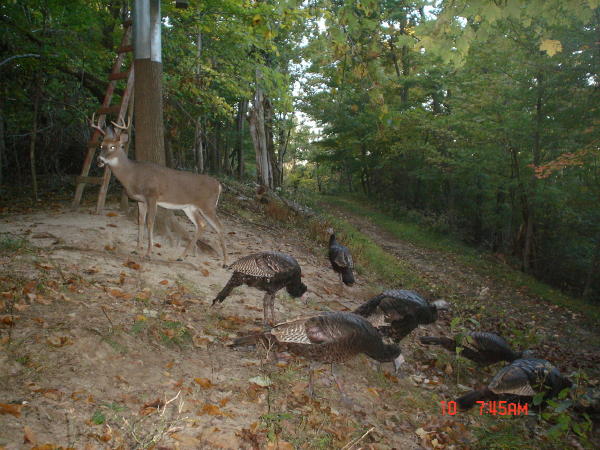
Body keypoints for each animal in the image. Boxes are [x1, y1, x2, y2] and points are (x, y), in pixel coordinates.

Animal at [91, 114, 227, 266]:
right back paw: (182, 256)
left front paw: (148, 253)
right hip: (190, 207)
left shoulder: (152, 196)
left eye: (113, 146)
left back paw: (225, 262)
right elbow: (141, 221)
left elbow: (150, 222)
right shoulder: (141, 200)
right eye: (101, 145)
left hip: (208, 205)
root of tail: (219, 185)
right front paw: (136, 249)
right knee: (201, 225)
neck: (133, 175)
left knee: (220, 227)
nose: (99, 160)